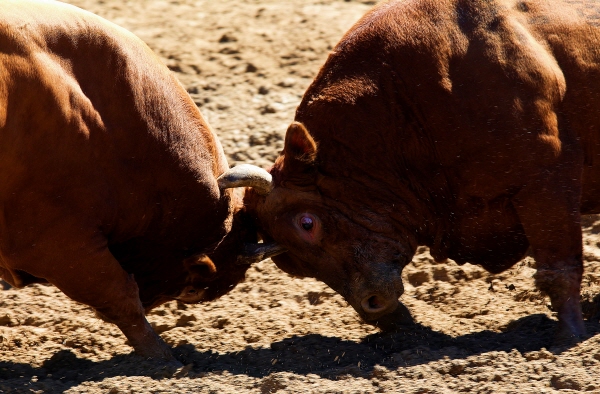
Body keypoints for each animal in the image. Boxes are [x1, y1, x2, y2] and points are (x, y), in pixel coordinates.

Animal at [227, 0, 600, 338]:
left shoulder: (546, 183)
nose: (372, 304)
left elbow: (559, 270)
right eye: (291, 263)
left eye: (307, 223)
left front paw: (570, 337)